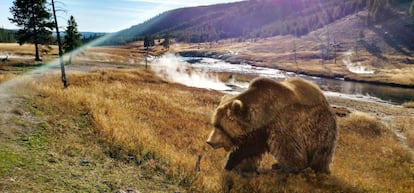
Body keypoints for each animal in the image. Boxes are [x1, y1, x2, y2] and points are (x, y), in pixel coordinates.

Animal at [206, 77, 336, 174]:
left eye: (221, 127)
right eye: (214, 124)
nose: (210, 142)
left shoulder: (283, 123)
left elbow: (289, 149)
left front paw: (290, 168)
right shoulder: (257, 132)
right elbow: (247, 151)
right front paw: (233, 165)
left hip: (321, 124)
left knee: (322, 150)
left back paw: (320, 169)